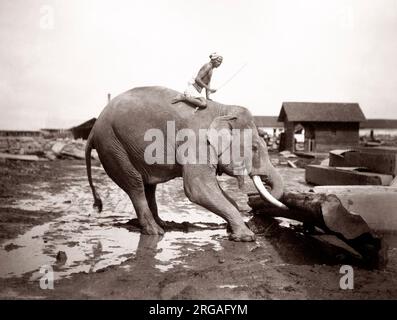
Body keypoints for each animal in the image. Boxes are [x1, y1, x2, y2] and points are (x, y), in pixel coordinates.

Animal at [85, 86, 286, 241]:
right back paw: (156, 232)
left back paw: (162, 223)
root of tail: (93, 130)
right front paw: (246, 236)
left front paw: (232, 230)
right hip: (113, 146)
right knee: (135, 185)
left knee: (148, 186)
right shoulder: (196, 142)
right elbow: (197, 188)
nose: (251, 198)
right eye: (254, 148)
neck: (222, 110)